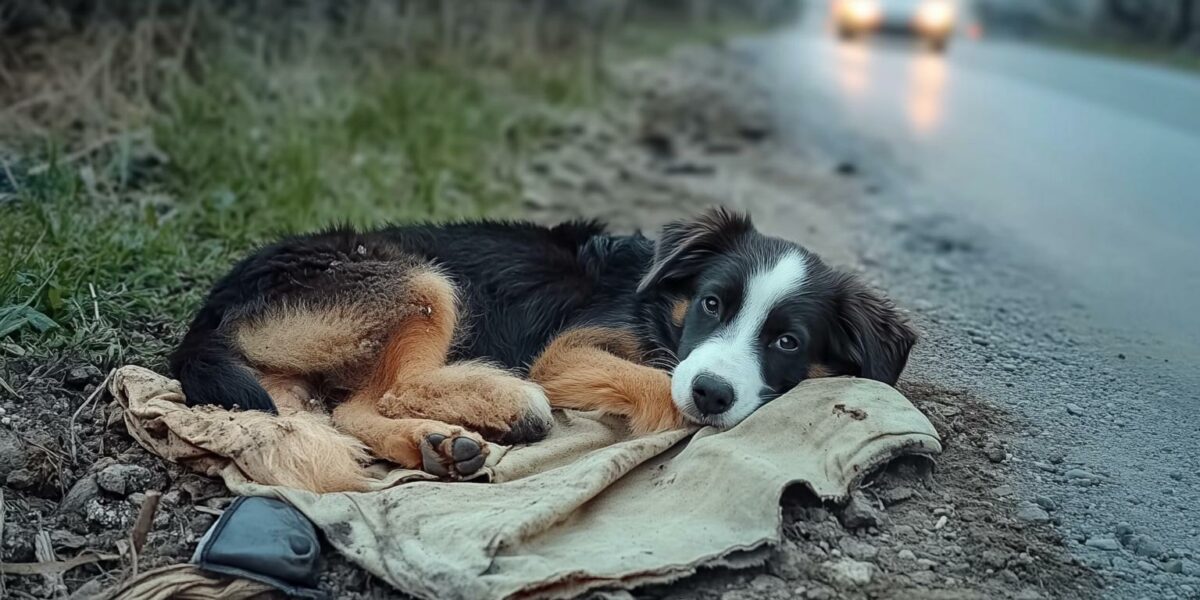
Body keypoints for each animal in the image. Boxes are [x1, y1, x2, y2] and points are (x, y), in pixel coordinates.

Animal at [169, 208, 916, 489]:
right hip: (418, 280)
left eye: (787, 341)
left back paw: (439, 444)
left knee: (346, 409)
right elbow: (663, 390)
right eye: (712, 304)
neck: (660, 306)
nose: (714, 391)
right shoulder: (570, 350)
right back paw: (503, 402)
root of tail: (211, 307)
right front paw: (683, 401)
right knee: (385, 390)